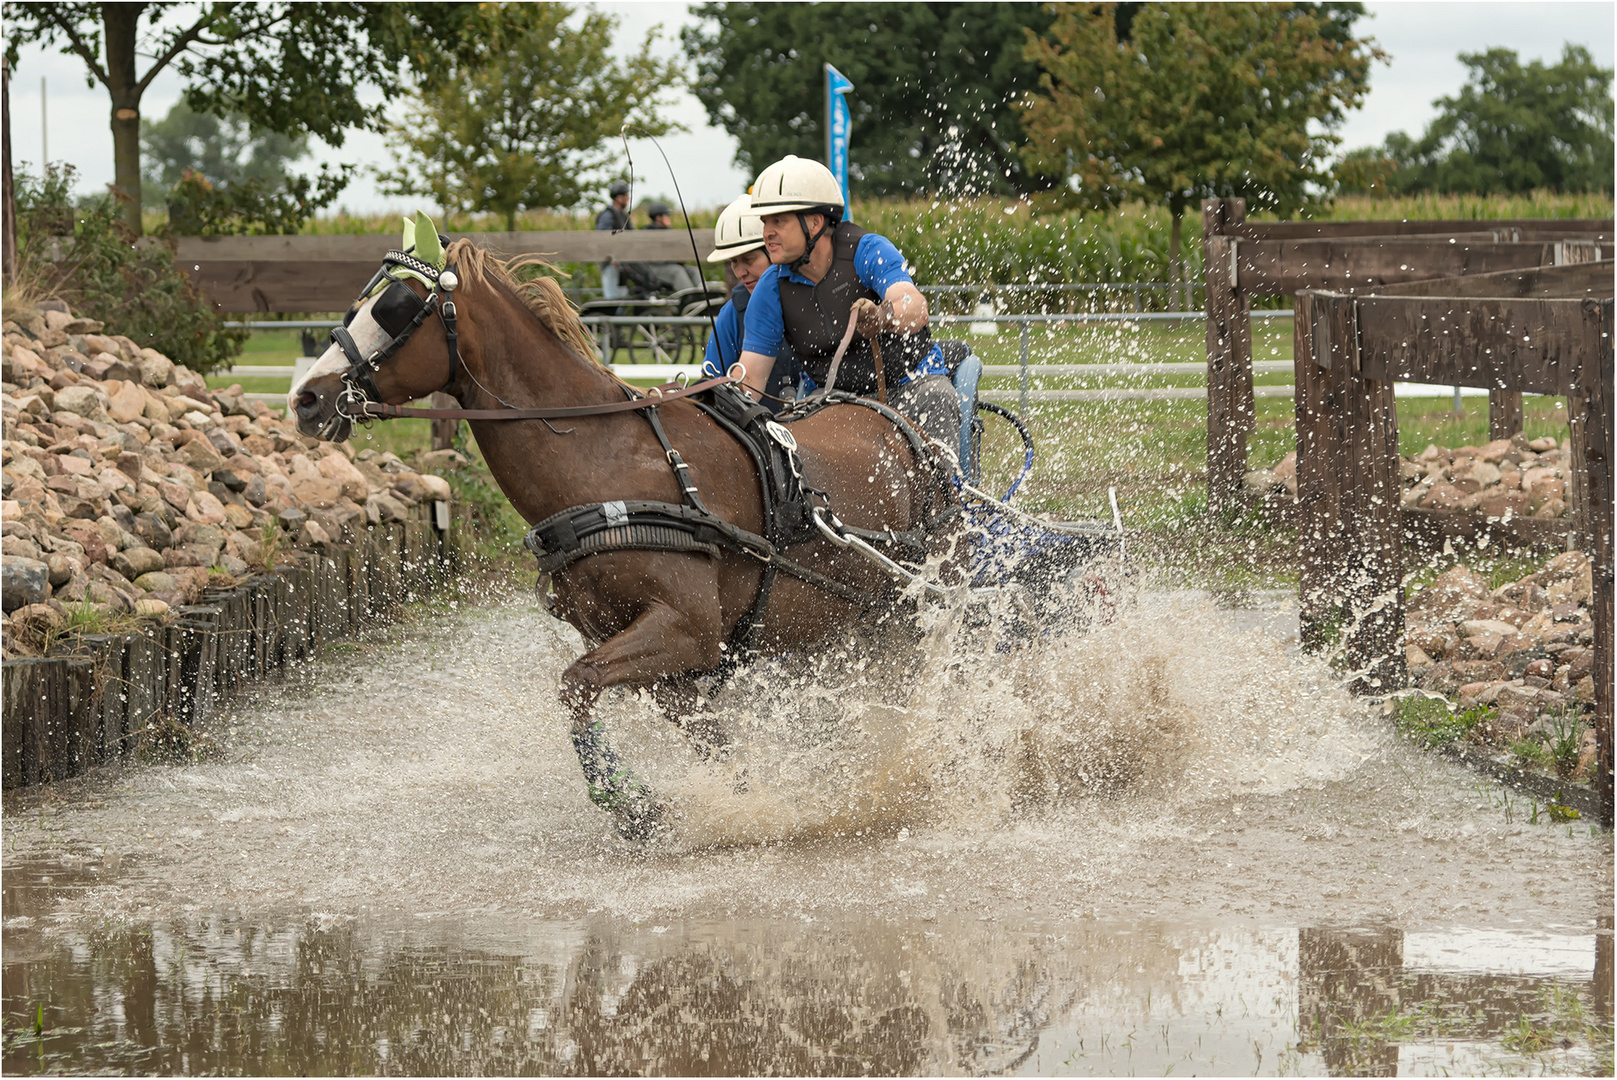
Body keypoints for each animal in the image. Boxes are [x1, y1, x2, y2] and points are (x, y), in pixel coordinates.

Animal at [292, 232, 950, 834]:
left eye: (398, 309)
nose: (306, 399)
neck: (606, 464)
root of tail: (893, 419)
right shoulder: (662, 660)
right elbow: (706, 739)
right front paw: (737, 800)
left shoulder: (688, 630)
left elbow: (576, 684)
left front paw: (629, 800)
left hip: (909, 614)